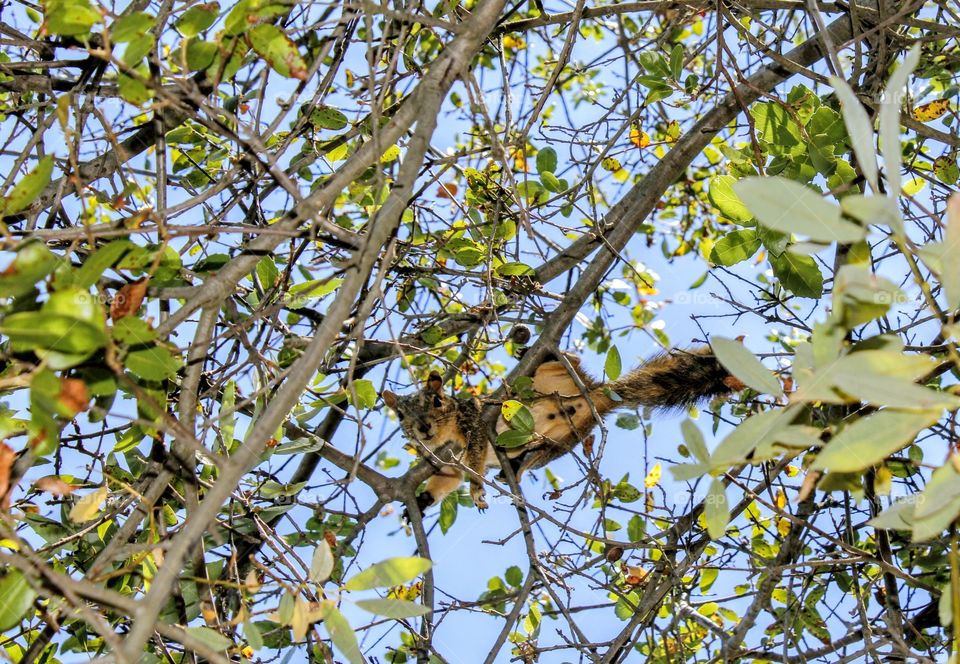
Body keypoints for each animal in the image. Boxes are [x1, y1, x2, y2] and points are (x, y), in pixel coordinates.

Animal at [381, 346, 744, 515]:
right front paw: (423, 498)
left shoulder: (475, 427)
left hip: (549, 376)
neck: (450, 435)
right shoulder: (449, 459)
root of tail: (593, 394)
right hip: (564, 441)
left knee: (567, 360)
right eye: (400, 414)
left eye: (437, 401)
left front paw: (476, 491)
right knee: (538, 453)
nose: (423, 427)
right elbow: (448, 479)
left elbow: (474, 462)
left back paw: (538, 352)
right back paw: (516, 467)